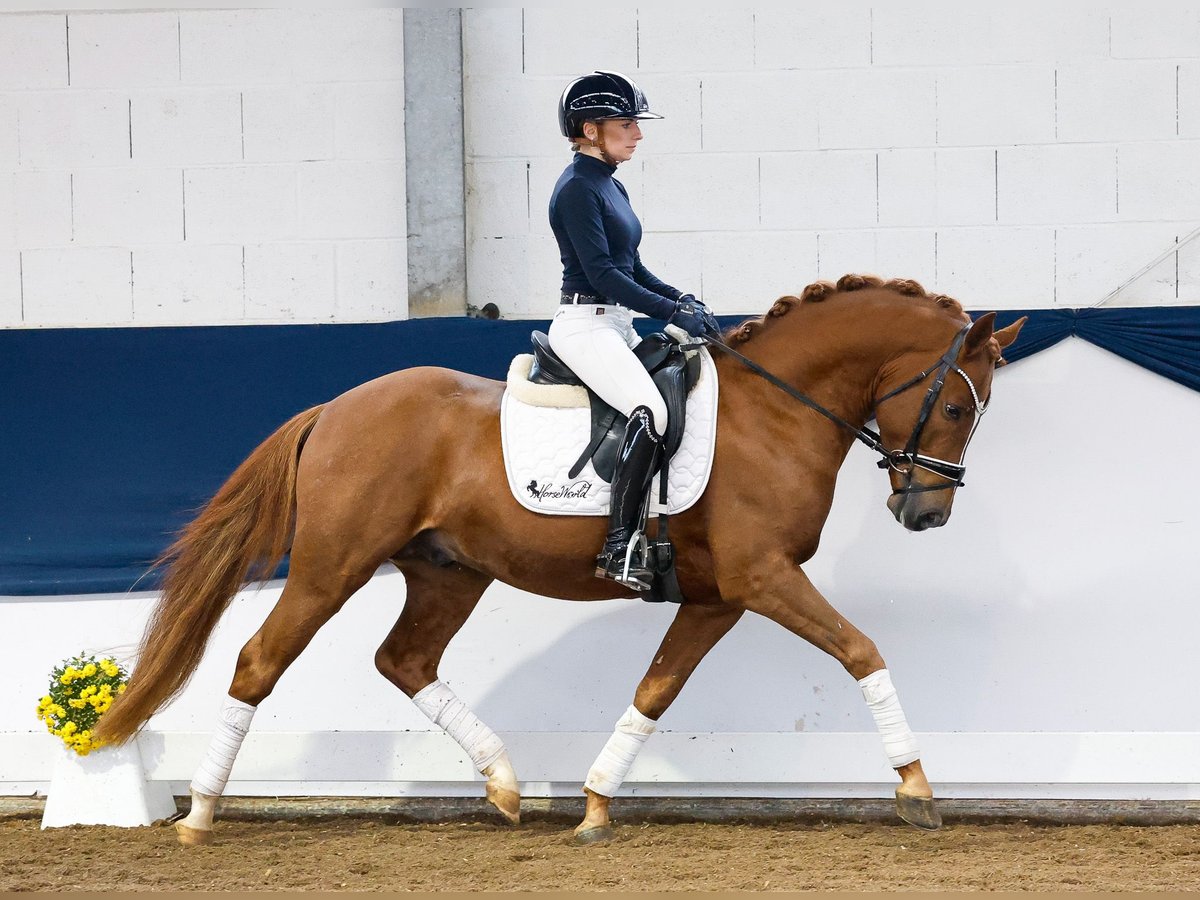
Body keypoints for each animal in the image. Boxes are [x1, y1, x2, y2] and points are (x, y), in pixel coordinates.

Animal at [98, 274, 1027, 844]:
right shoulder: (763, 578)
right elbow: (861, 648)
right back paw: (200, 814)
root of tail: (336, 407)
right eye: (953, 406)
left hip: (449, 571)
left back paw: (506, 784)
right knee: (259, 660)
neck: (776, 411)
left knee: (404, 660)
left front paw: (594, 805)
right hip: (335, 566)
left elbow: (655, 691)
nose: (926, 513)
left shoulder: (719, 596)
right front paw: (917, 789)